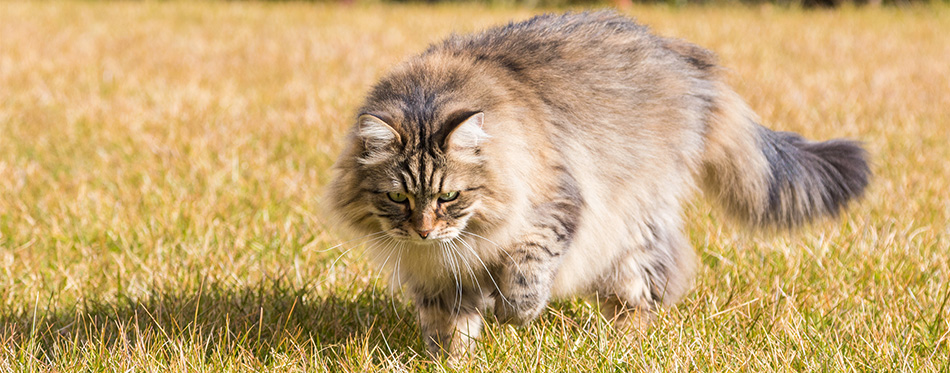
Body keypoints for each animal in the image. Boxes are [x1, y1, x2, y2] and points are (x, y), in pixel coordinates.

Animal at [326, 10, 872, 358]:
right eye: (397, 198)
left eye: (449, 197)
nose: (423, 230)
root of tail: (683, 58)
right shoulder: (438, 275)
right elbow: (447, 323)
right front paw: (449, 359)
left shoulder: (560, 204)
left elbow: (528, 267)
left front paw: (515, 311)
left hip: (630, 224)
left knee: (650, 285)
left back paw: (624, 344)